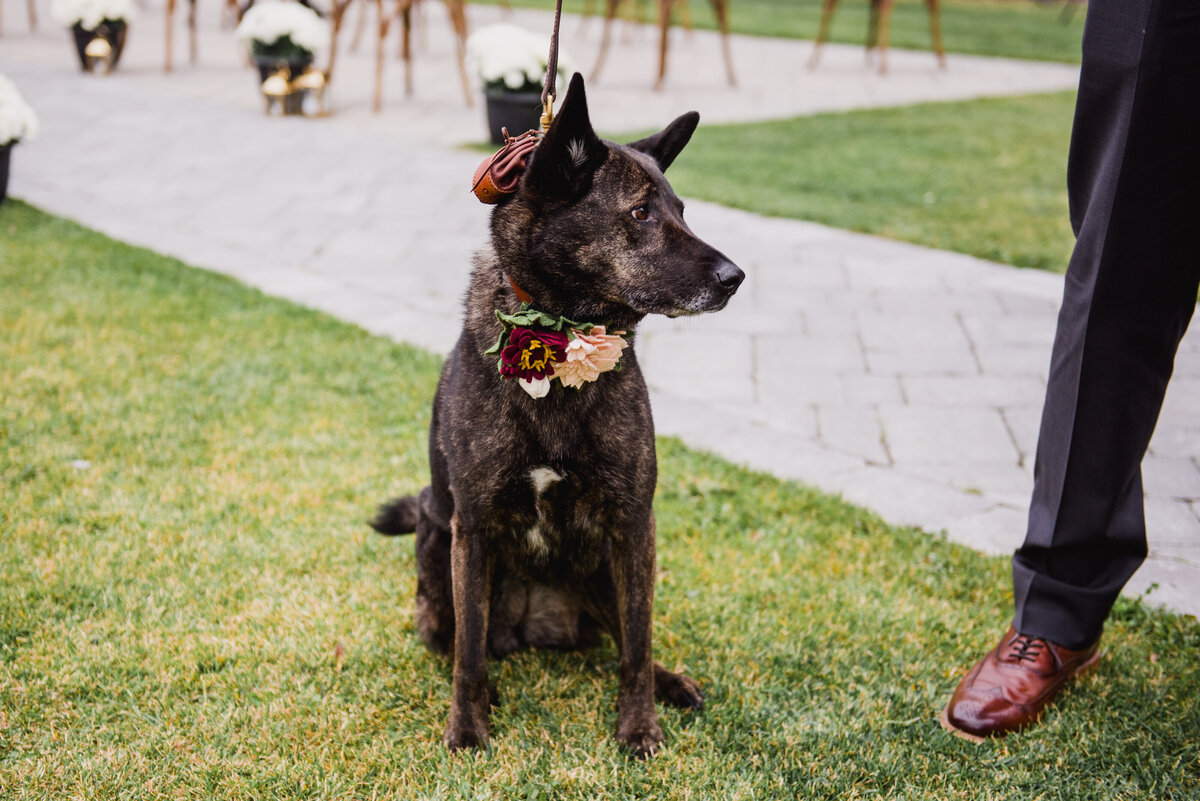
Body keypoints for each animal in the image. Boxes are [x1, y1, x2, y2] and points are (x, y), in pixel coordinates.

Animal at [374, 73, 744, 757]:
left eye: (682, 211)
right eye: (640, 213)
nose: (736, 278)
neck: (559, 335)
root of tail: (534, 629)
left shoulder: (634, 524)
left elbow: (637, 643)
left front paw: (639, 726)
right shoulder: (474, 530)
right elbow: (468, 657)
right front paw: (468, 729)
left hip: (604, 568)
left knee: (625, 639)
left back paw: (669, 682)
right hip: (439, 554)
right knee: (461, 641)